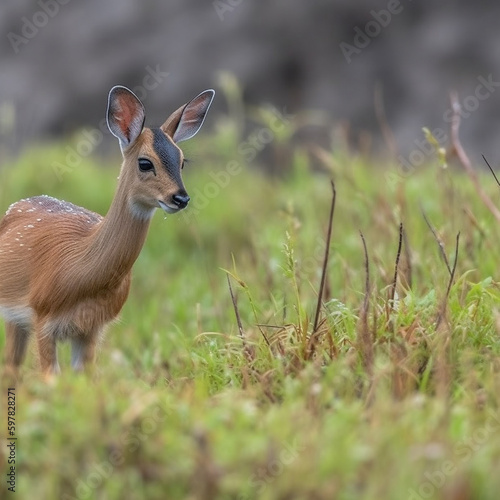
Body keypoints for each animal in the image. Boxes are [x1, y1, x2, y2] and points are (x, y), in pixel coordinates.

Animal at [0, 84, 215, 376]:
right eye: (145, 162)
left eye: (182, 161)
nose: (180, 198)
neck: (78, 268)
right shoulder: (43, 321)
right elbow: (50, 377)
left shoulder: (91, 329)